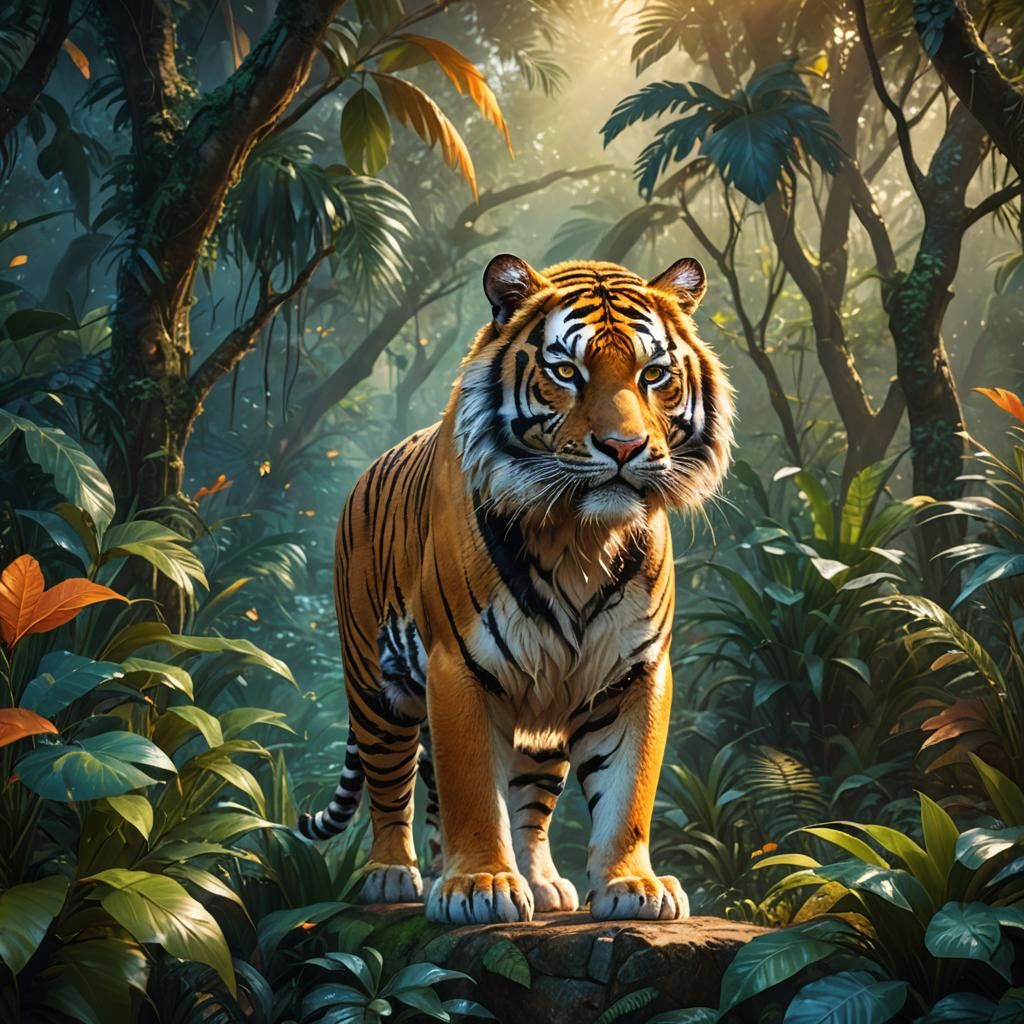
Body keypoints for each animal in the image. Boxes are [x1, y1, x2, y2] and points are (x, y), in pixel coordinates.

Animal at [298, 254, 734, 924]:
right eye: (566, 372)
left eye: (654, 374)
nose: (625, 447)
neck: (580, 538)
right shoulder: (458, 668)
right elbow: (473, 791)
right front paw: (479, 886)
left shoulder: (632, 672)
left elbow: (627, 790)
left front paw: (633, 886)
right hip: (377, 691)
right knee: (392, 784)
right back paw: (393, 876)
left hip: (543, 706)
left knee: (528, 803)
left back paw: (541, 883)